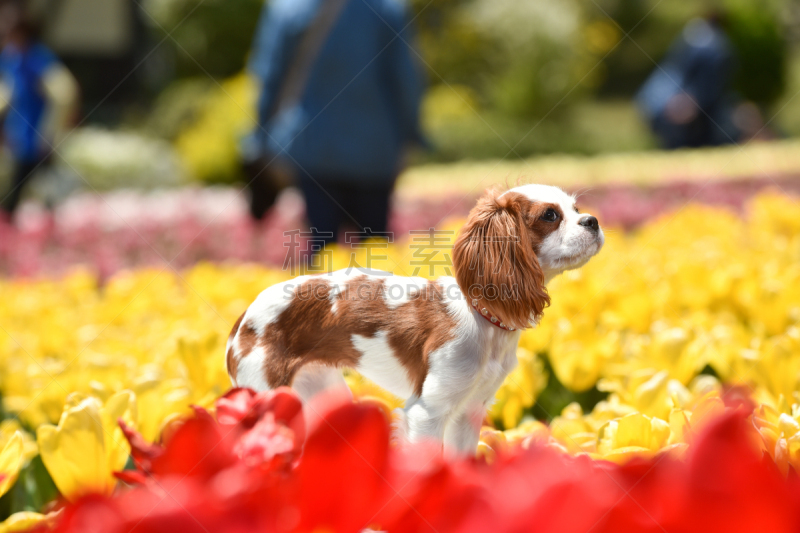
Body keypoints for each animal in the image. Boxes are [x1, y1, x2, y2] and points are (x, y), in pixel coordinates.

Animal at [223, 185, 600, 456]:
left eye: (576, 210)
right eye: (550, 215)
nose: (593, 221)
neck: (483, 319)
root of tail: (243, 317)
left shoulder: (469, 413)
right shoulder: (427, 412)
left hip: (322, 393)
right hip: (268, 395)